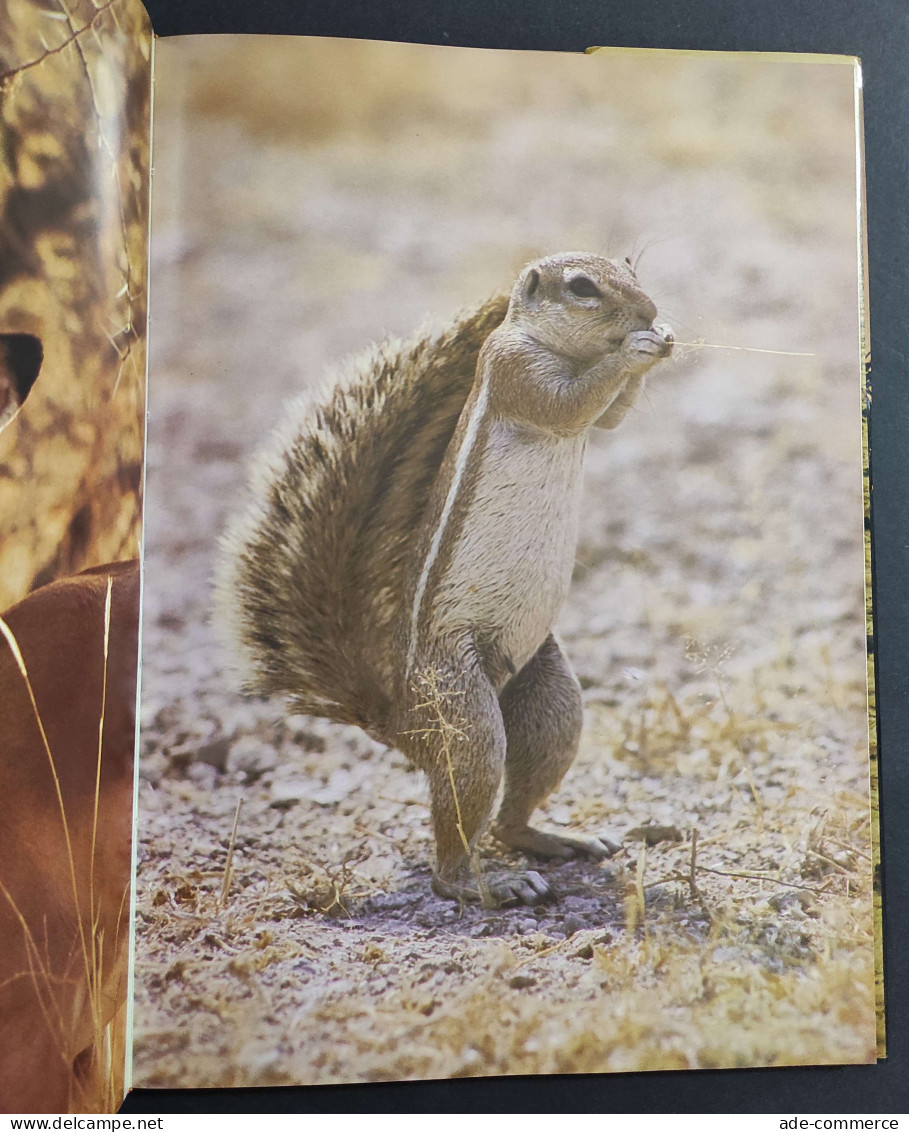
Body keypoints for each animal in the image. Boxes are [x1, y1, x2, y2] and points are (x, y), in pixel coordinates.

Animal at [217, 252, 670, 905]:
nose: (650, 311)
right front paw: (636, 348)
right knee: (454, 844)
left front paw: (662, 339)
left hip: (552, 703)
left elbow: (608, 417)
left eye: (631, 266)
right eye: (583, 287)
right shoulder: (514, 370)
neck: (557, 343)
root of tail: (401, 724)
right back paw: (489, 883)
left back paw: (555, 839)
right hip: (464, 713)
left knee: (510, 816)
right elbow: (572, 403)